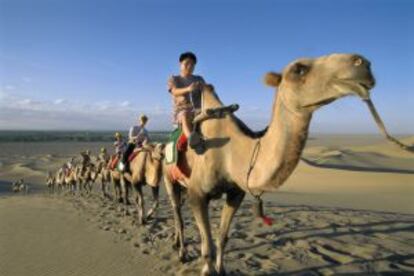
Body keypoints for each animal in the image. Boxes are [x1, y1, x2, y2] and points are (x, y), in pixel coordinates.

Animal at [163, 53, 380, 274]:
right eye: (299, 69)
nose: (362, 63)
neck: (231, 153)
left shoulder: (235, 193)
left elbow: (222, 237)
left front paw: (222, 270)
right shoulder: (198, 193)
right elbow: (207, 244)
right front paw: (206, 269)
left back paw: (176, 243)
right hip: (169, 178)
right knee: (177, 213)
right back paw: (181, 252)